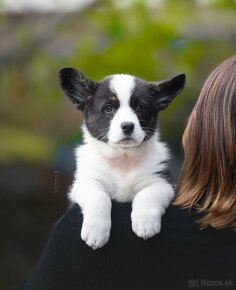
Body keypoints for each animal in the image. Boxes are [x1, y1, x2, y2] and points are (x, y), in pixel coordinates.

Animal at [58, 68, 184, 249]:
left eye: (140, 107)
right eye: (109, 108)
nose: (128, 126)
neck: (123, 158)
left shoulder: (162, 183)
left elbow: (147, 195)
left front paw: (145, 224)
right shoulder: (86, 182)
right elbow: (99, 197)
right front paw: (96, 233)